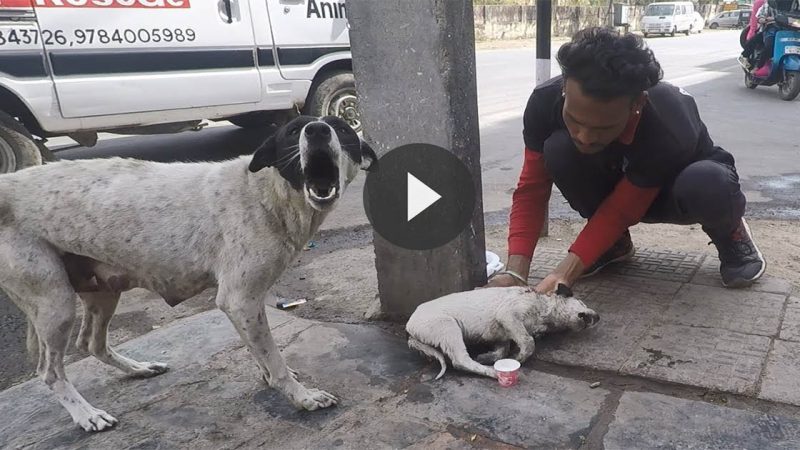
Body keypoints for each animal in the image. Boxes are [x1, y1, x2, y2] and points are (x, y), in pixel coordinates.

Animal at [406, 284, 600, 380]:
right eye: (582, 306)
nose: (598, 317)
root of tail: (410, 328)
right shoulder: (508, 315)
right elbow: (528, 342)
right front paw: (519, 358)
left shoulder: (502, 333)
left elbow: (503, 350)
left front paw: (488, 356)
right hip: (448, 328)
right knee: (460, 361)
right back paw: (492, 373)